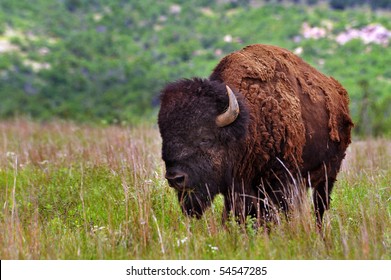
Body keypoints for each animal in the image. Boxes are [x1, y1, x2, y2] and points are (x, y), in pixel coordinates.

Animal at [158, 43, 354, 228]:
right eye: (165, 138)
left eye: (205, 138)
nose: (175, 178)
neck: (248, 123)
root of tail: (339, 92)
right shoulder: (238, 186)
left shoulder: (279, 180)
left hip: (328, 173)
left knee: (319, 207)